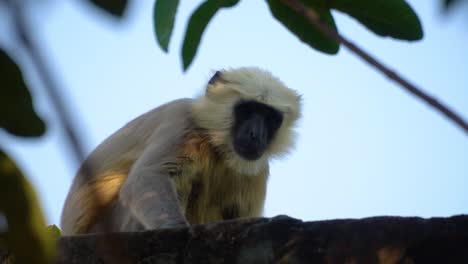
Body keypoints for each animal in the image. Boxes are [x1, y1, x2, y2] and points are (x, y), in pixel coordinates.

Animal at [60, 66, 302, 235]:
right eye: (247, 110)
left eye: (270, 119)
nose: (255, 135)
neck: (217, 146)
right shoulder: (182, 120)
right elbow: (147, 178)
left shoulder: (256, 167)